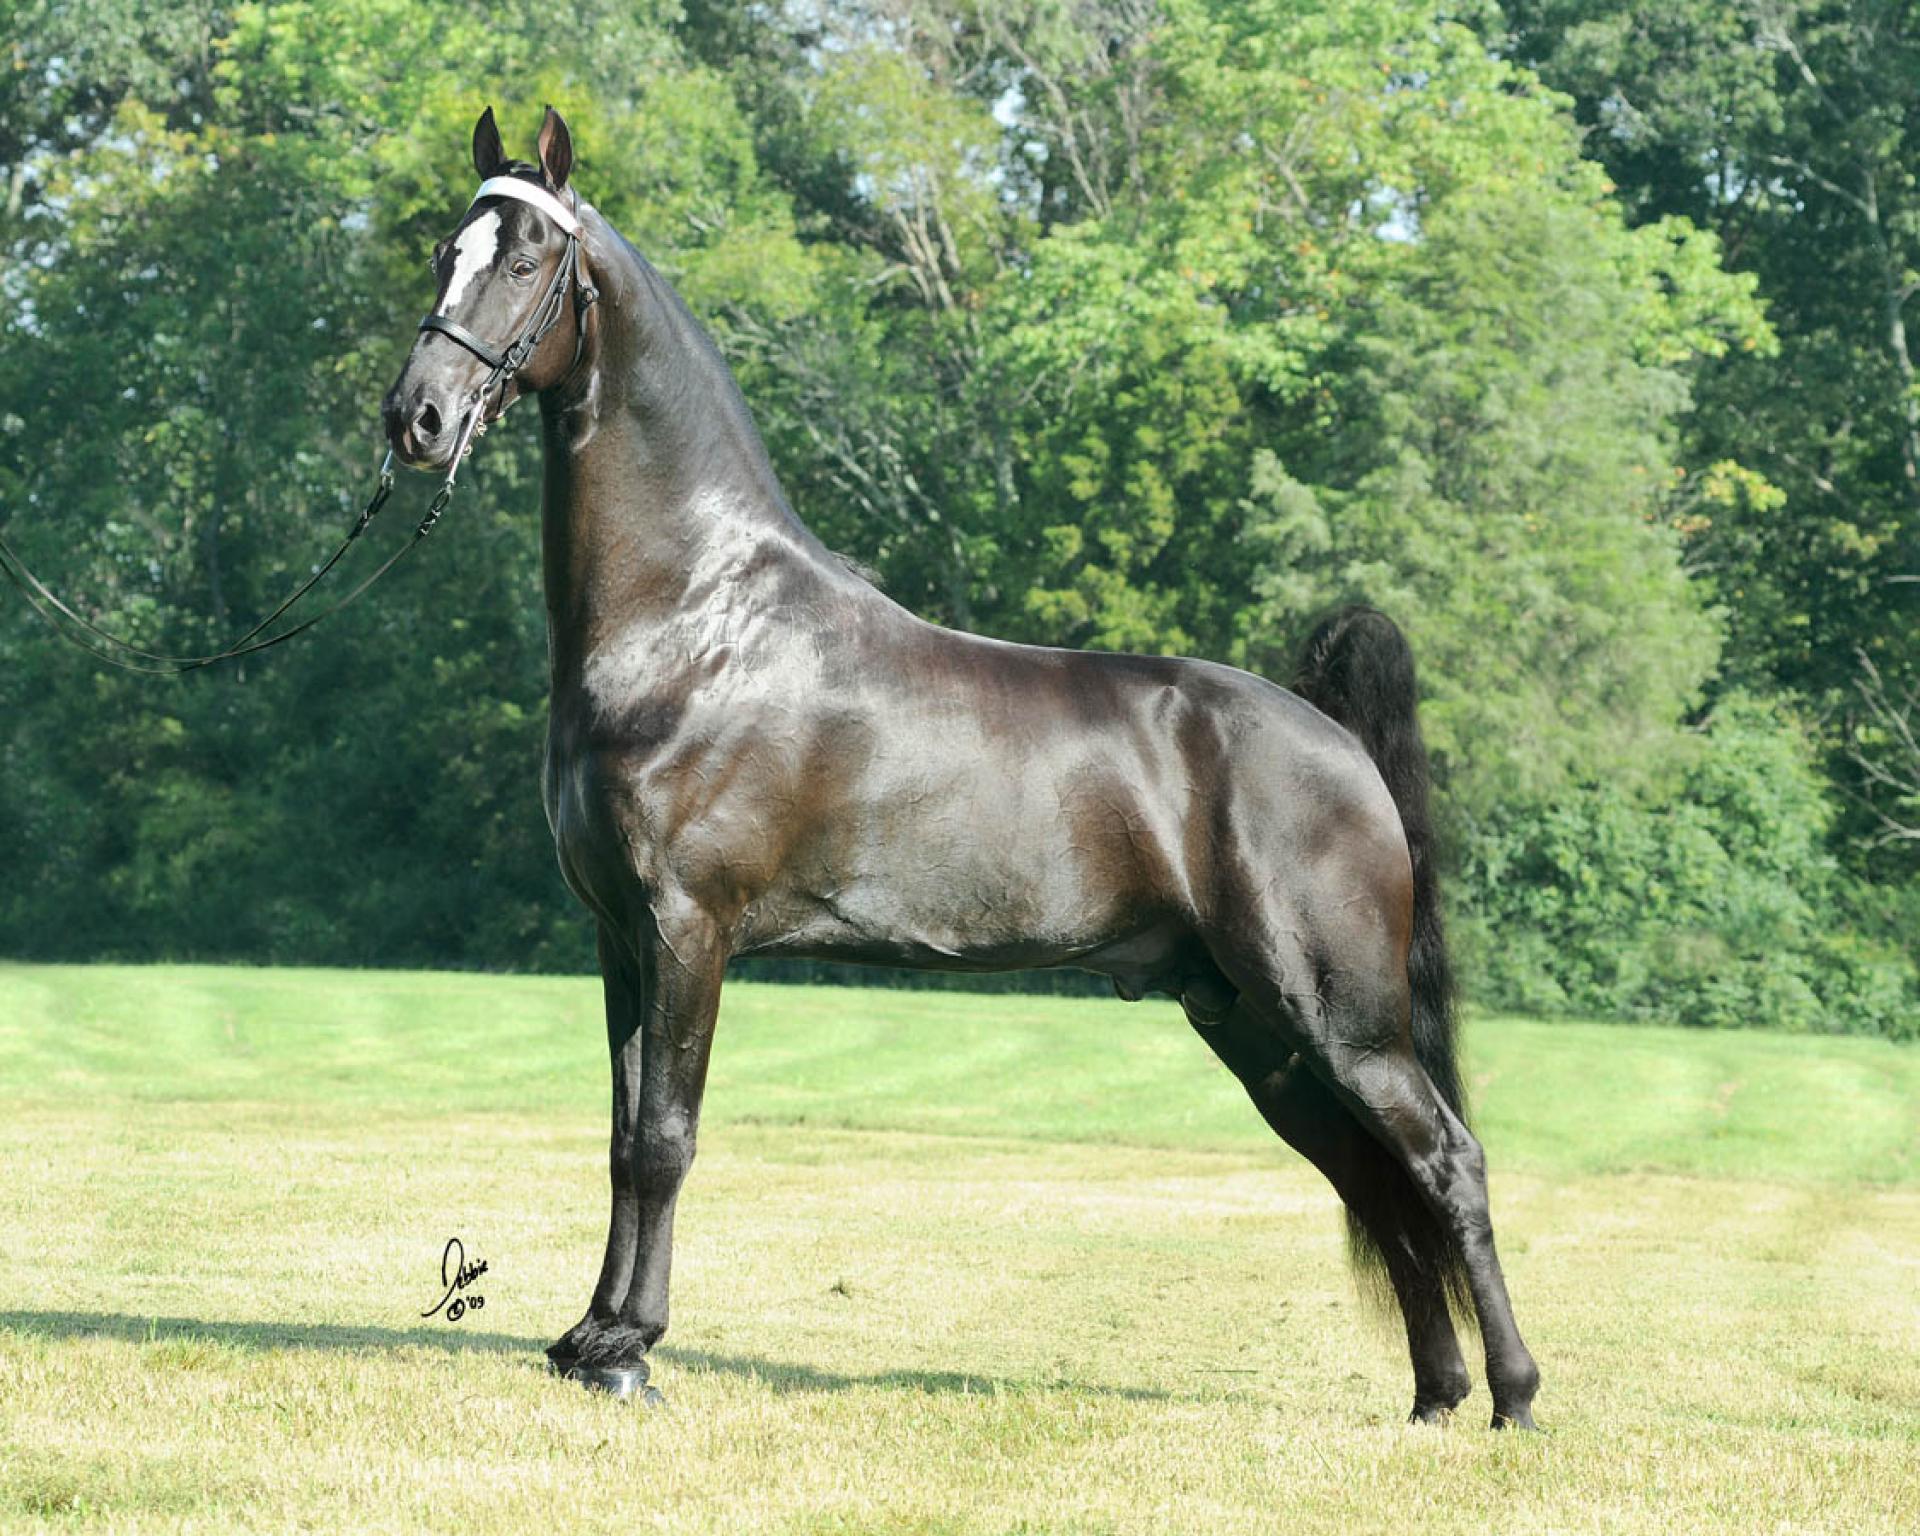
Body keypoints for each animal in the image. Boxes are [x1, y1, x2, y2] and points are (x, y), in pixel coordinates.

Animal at [380, 106, 1541, 1429]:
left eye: (526, 260)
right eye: (444, 253)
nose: (415, 419)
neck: (694, 616)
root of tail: (1336, 740)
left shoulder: (687, 928)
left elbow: (667, 1136)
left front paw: (631, 1349)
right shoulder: (621, 937)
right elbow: (624, 1137)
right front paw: (590, 1339)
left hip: (1343, 1021)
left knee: (1444, 1161)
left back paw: (1512, 1396)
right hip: (1256, 1027)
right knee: (1371, 1179)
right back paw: (1437, 1397)